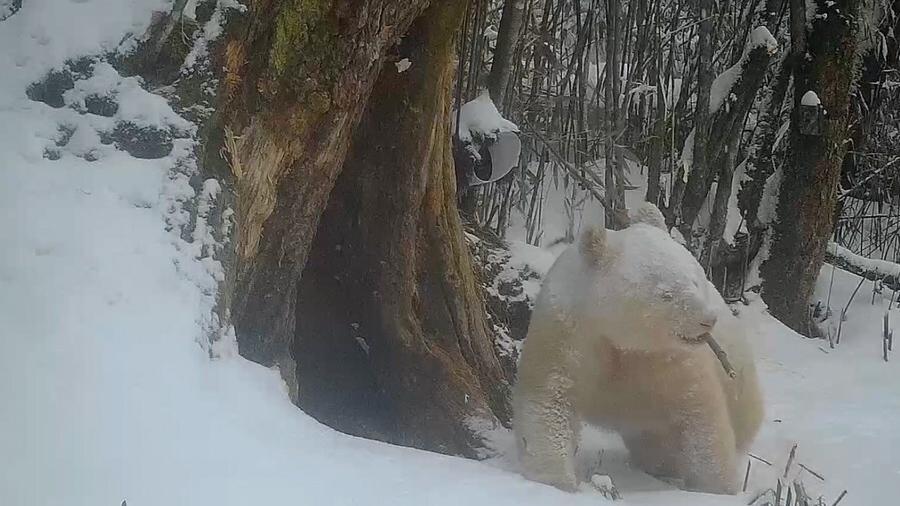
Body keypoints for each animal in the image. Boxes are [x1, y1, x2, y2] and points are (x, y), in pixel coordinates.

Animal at [512, 203, 760, 494]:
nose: (707, 320)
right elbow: (550, 399)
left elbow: (701, 413)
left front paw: (720, 487)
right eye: (666, 293)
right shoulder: (566, 336)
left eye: (696, 280)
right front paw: (557, 481)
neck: (620, 338)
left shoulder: (669, 359)